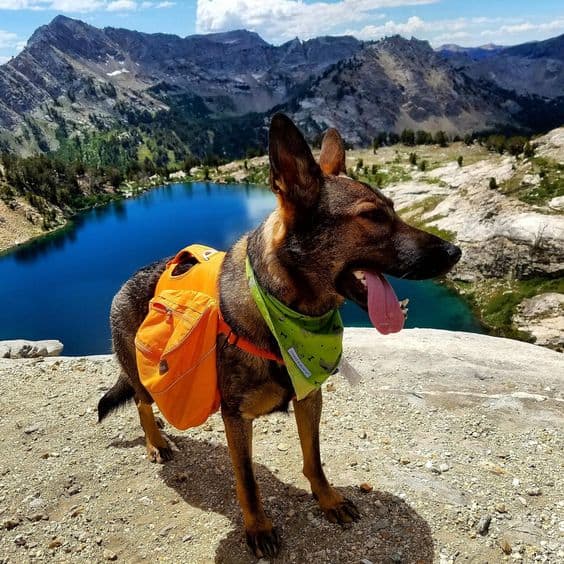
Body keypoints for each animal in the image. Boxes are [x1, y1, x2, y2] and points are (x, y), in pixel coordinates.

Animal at [99, 114, 460, 560]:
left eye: (394, 208)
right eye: (374, 217)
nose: (455, 252)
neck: (283, 311)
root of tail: (126, 282)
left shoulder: (309, 398)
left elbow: (314, 458)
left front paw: (327, 499)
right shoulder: (236, 418)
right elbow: (248, 481)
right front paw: (258, 527)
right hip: (141, 374)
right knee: (141, 404)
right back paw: (155, 442)